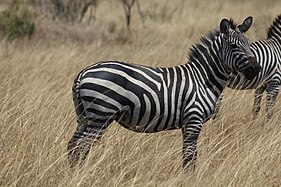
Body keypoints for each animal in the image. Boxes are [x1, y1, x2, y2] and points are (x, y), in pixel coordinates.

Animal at [66, 16, 260, 170]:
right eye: (233, 46)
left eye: (249, 44)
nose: (256, 68)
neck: (204, 78)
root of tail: (83, 73)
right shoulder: (194, 120)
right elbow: (190, 156)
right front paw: (190, 178)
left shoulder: (188, 124)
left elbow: (188, 155)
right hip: (101, 115)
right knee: (82, 146)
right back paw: (80, 174)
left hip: (84, 116)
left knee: (73, 145)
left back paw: (74, 174)